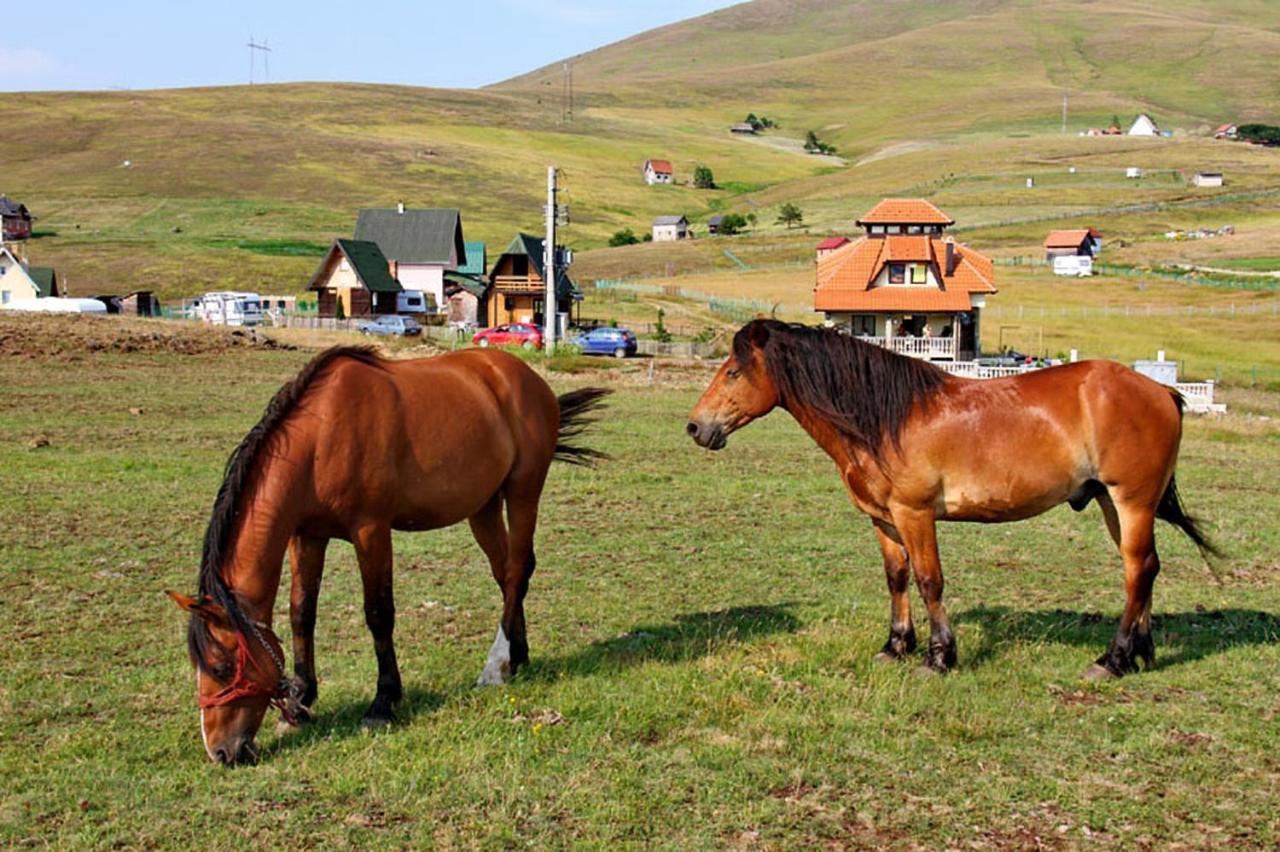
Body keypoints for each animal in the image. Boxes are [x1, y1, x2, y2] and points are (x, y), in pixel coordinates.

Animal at [171, 345, 609, 762]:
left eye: (222, 667)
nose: (221, 751)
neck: (320, 437)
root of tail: (528, 378)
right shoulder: (307, 536)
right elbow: (301, 613)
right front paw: (302, 698)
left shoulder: (371, 530)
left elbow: (379, 614)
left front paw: (383, 703)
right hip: (482, 507)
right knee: (505, 576)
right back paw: (518, 657)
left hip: (522, 494)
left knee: (517, 570)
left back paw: (495, 667)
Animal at [691, 318, 1218, 675]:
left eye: (734, 372)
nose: (696, 427)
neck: (885, 418)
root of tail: (1163, 392)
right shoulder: (884, 520)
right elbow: (897, 579)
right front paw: (895, 646)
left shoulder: (915, 514)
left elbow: (930, 581)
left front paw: (939, 656)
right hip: (1114, 503)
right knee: (1145, 568)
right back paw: (1140, 653)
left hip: (1131, 501)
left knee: (1137, 570)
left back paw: (1113, 659)